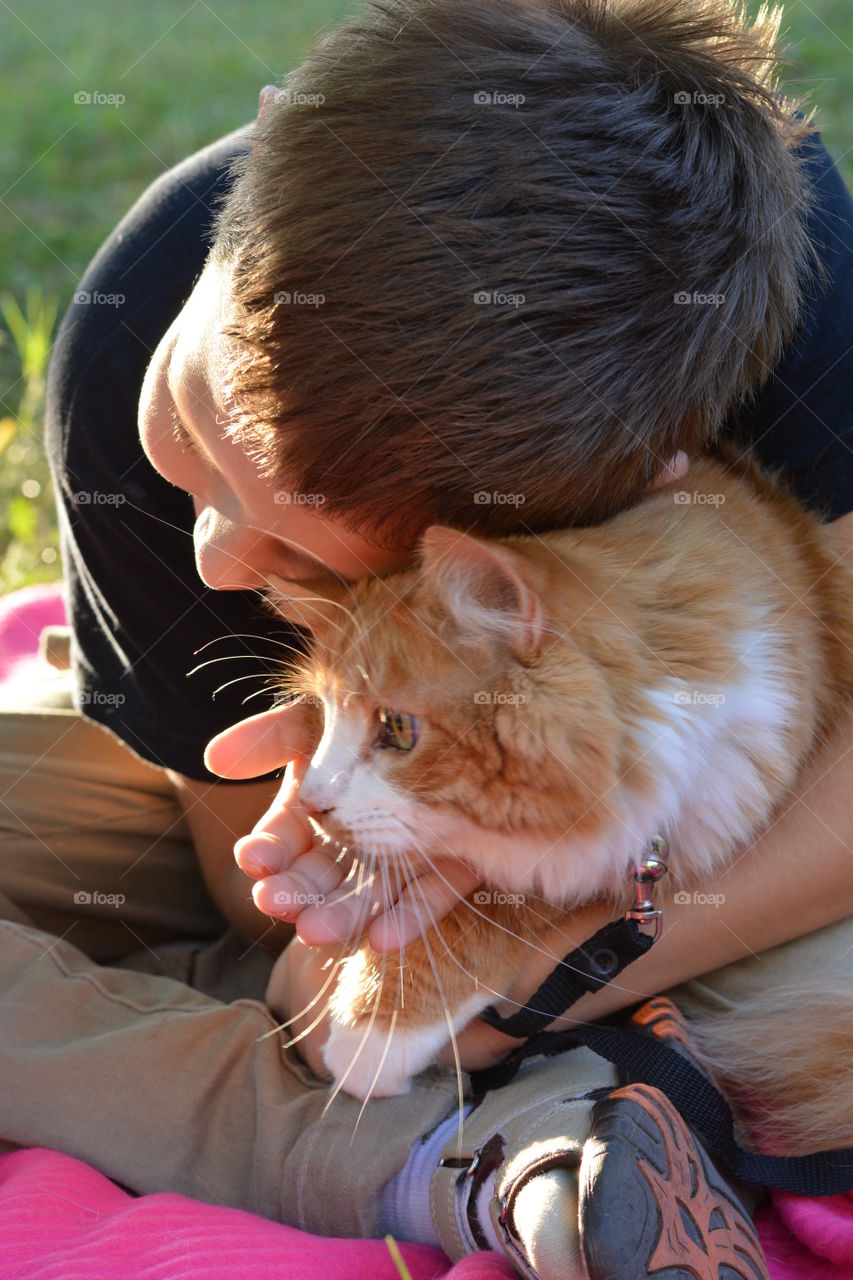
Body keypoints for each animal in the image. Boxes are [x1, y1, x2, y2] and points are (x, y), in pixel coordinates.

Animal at [275, 445, 850, 1157]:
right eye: (321, 717)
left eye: (398, 729)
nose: (311, 801)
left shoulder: (666, 829)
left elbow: (496, 902)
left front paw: (370, 1033)